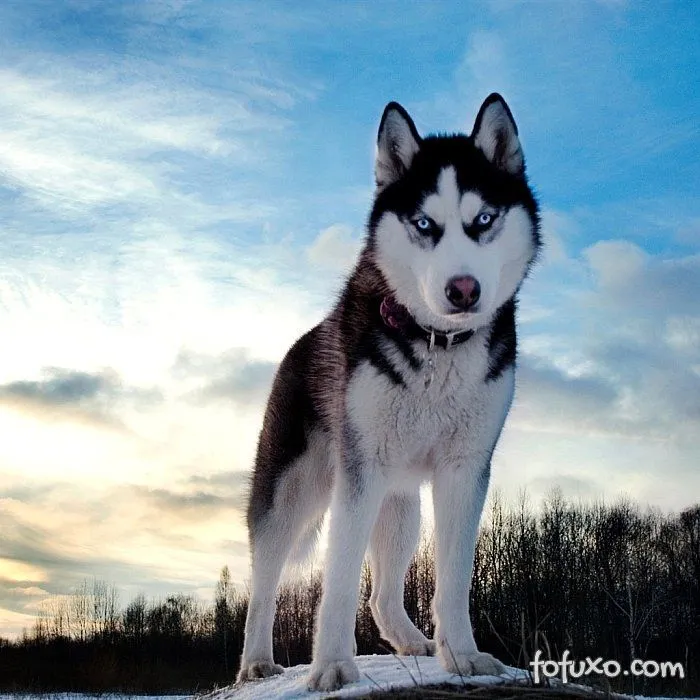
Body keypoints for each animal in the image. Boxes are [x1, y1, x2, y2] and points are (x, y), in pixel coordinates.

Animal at [238, 94, 540, 696]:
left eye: (484, 220)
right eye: (425, 223)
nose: (463, 289)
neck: (437, 345)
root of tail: (300, 343)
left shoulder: (464, 470)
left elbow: (453, 578)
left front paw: (462, 656)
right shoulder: (360, 473)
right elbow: (336, 580)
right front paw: (332, 665)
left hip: (399, 506)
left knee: (380, 594)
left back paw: (411, 641)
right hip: (293, 493)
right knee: (264, 582)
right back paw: (256, 662)